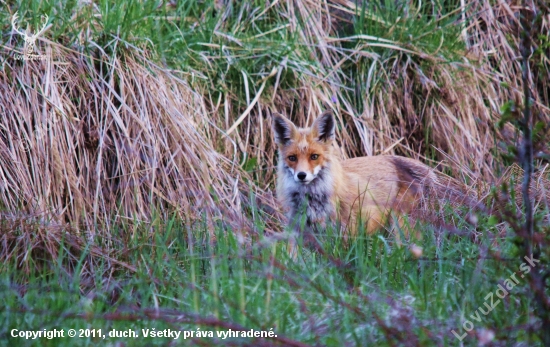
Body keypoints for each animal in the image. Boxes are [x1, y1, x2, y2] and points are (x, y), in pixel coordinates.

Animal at [272, 111, 466, 242]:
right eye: (292, 158)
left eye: (314, 156)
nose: (301, 175)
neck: (314, 199)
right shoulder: (301, 230)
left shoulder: (349, 229)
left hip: (401, 225)